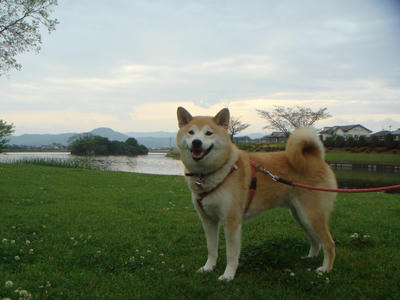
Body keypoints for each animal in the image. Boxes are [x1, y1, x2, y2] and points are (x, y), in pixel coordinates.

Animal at [177, 106, 336, 280]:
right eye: (191, 132)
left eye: (208, 133)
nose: (196, 142)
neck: (211, 174)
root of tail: (316, 157)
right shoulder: (208, 220)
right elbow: (211, 249)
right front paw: (208, 268)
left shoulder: (231, 221)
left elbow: (231, 254)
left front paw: (228, 275)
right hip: (301, 216)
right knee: (315, 240)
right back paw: (310, 257)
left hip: (311, 214)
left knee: (329, 243)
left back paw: (326, 269)